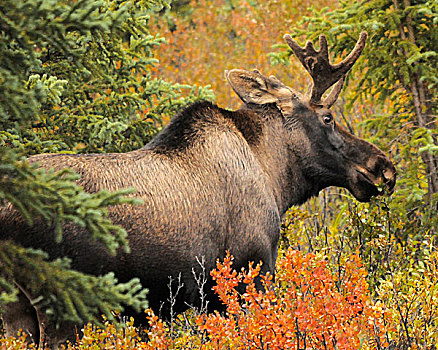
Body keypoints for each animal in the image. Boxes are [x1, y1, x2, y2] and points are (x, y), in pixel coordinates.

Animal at [0, 32, 396, 348]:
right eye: (327, 118)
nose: (383, 168)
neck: (275, 179)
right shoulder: (248, 273)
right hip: (61, 300)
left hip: (15, 308)